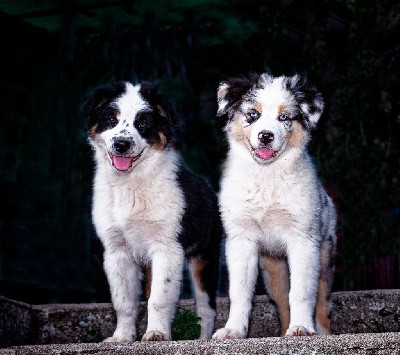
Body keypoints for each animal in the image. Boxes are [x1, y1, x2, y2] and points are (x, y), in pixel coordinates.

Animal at [84, 80, 222, 342]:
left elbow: (159, 298)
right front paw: (122, 337)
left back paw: (202, 339)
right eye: (111, 118)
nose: (122, 144)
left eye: (143, 123)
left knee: (206, 307)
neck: (130, 184)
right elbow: (124, 301)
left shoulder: (166, 247)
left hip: (204, 256)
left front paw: (157, 334)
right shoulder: (117, 250)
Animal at [212, 72, 338, 340]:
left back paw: (319, 331)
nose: (266, 136)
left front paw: (302, 328)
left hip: (324, 255)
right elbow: (239, 291)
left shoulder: (303, 240)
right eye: (253, 114)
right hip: (272, 269)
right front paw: (233, 330)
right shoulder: (240, 239)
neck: (266, 176)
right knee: (282, 301)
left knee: (321, 299)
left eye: (284, 117)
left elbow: (302, 291)